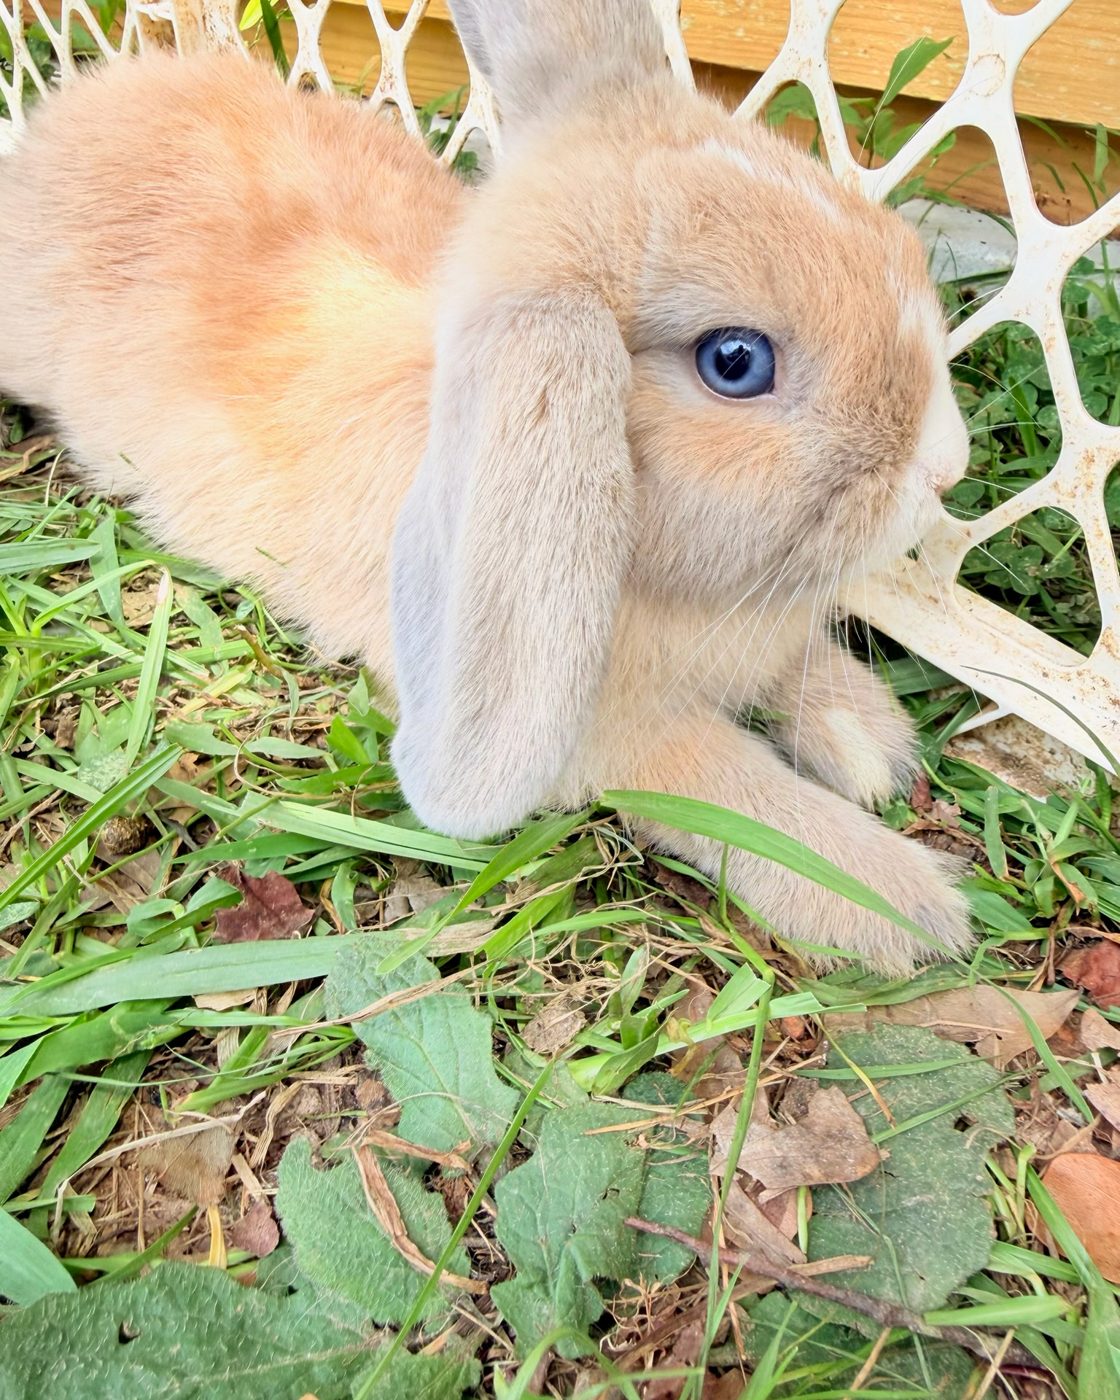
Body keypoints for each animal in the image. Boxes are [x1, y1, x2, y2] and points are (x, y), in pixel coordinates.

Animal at [0, 0, 975, 974]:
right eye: (734, 362)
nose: (946, 466)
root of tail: (64, 118)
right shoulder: (625, 740)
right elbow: (743, 799)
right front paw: (906, 908)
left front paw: (873, 747)